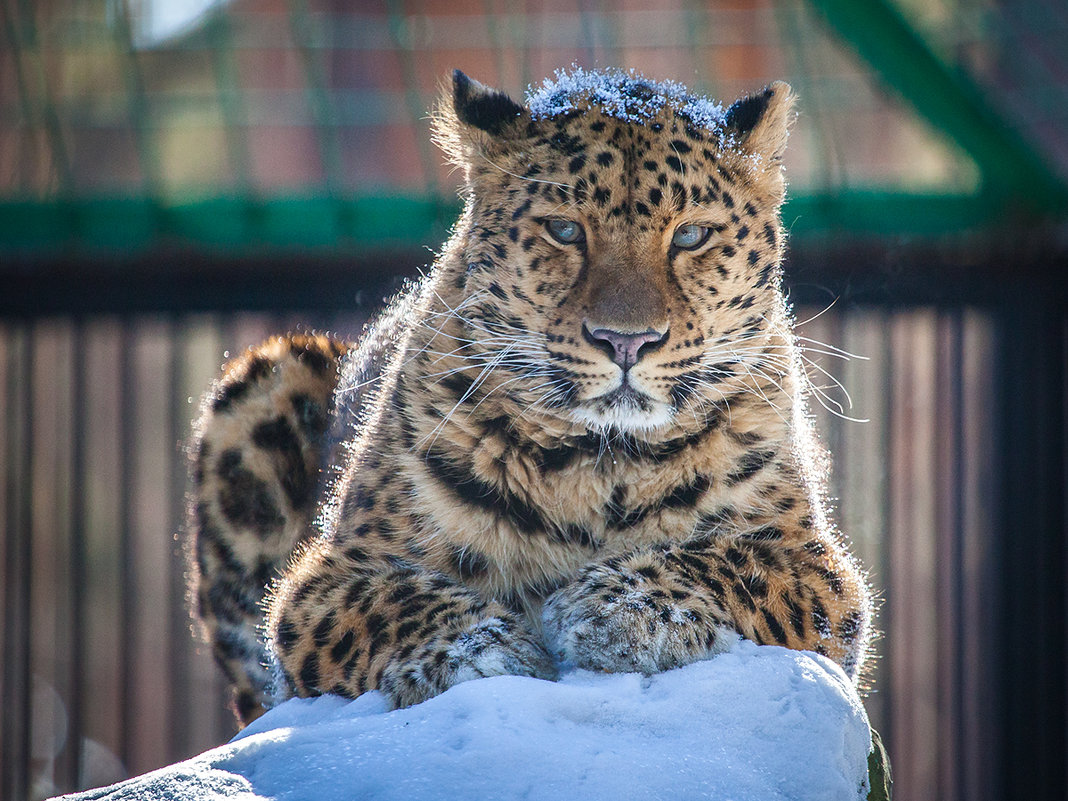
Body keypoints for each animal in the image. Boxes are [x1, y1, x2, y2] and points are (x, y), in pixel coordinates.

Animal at [185, 68, 867, 726]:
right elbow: (386, 600)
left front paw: (618, 607)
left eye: (691, 236)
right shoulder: (323, 581)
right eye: (565, 230)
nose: (627, 341)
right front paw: (484, 647)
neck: (602, 466)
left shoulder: (823, 571)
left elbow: (733, 563)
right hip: (270, 376)